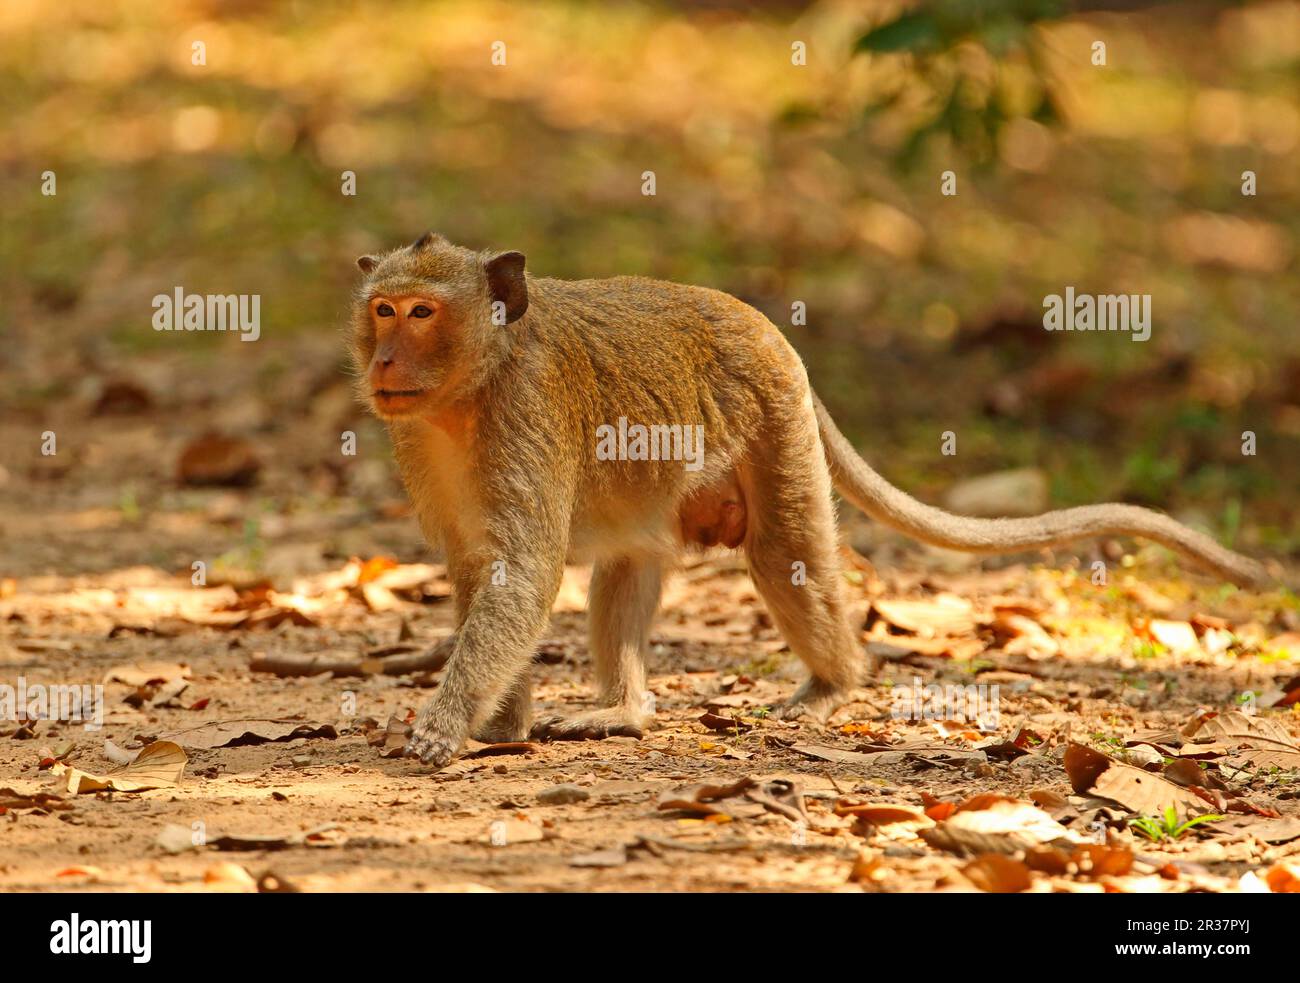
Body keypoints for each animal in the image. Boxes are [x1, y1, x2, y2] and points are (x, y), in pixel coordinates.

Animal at [349, 232, 1271, 769]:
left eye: (422, 313)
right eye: (383, 309)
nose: (384, 360)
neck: (471, 389)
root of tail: (769, 329)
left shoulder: (525, 413)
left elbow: (525, 572)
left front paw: (448, 723)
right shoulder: (418, 438)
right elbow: (481, 567)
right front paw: (500, 722)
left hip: (773, 426)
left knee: (783, 554)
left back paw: (833, 684)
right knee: (630, 561)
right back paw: (627, 712)